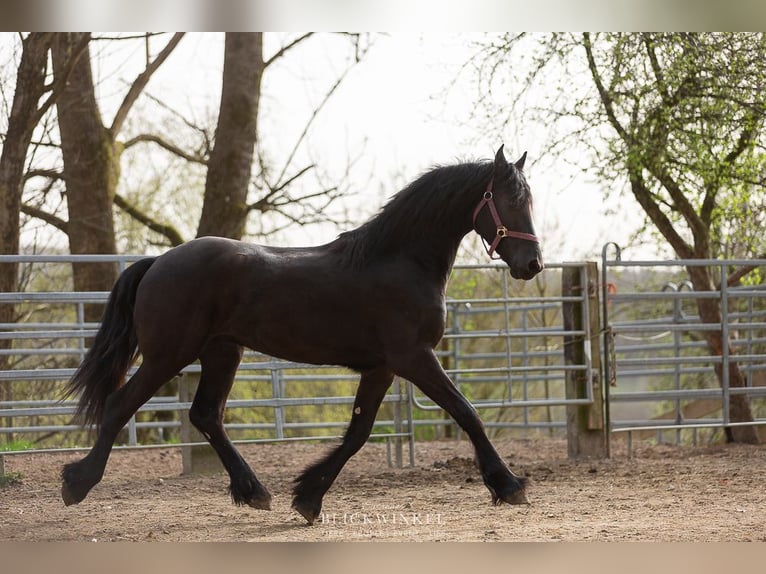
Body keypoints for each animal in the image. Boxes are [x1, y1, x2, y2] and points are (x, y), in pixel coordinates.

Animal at [63, 145, 544, 528]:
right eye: (509, 199)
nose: (533, 264)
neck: (399, 260)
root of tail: (157, 262)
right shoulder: (414, 358)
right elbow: (467, 413)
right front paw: (509, 485)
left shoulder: (381, 368)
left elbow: (357, 434)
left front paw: (308, 498)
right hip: (169, 354)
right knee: (120, 405)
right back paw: (76, 483)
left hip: (222, 353)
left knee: (205, 416)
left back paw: (254, 492)